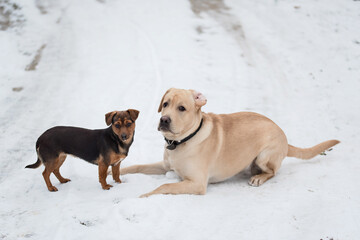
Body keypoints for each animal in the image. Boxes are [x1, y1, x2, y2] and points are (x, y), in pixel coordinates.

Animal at [122, 88, 338, 197]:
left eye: (181, 108)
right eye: (165, 104)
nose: (164, 119)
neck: (182, 141)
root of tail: (284, 136)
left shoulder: (197, 183)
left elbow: (163, 186)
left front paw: (143, 196)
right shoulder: (165, 165)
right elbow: (135, 166)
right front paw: (118, 172)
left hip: (264, 156)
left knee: (272, 172)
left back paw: (258, 178)